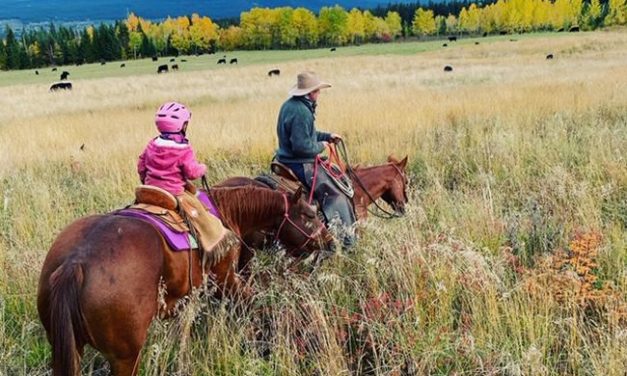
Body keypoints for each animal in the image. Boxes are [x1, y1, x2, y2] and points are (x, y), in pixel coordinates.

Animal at [36, 186, 332, 376]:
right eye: (308, 215)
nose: (330, 242)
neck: (225, 213)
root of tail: (76, 262)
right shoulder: (226, 281)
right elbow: (251, 302)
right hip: (125, 357)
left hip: (68, 346)